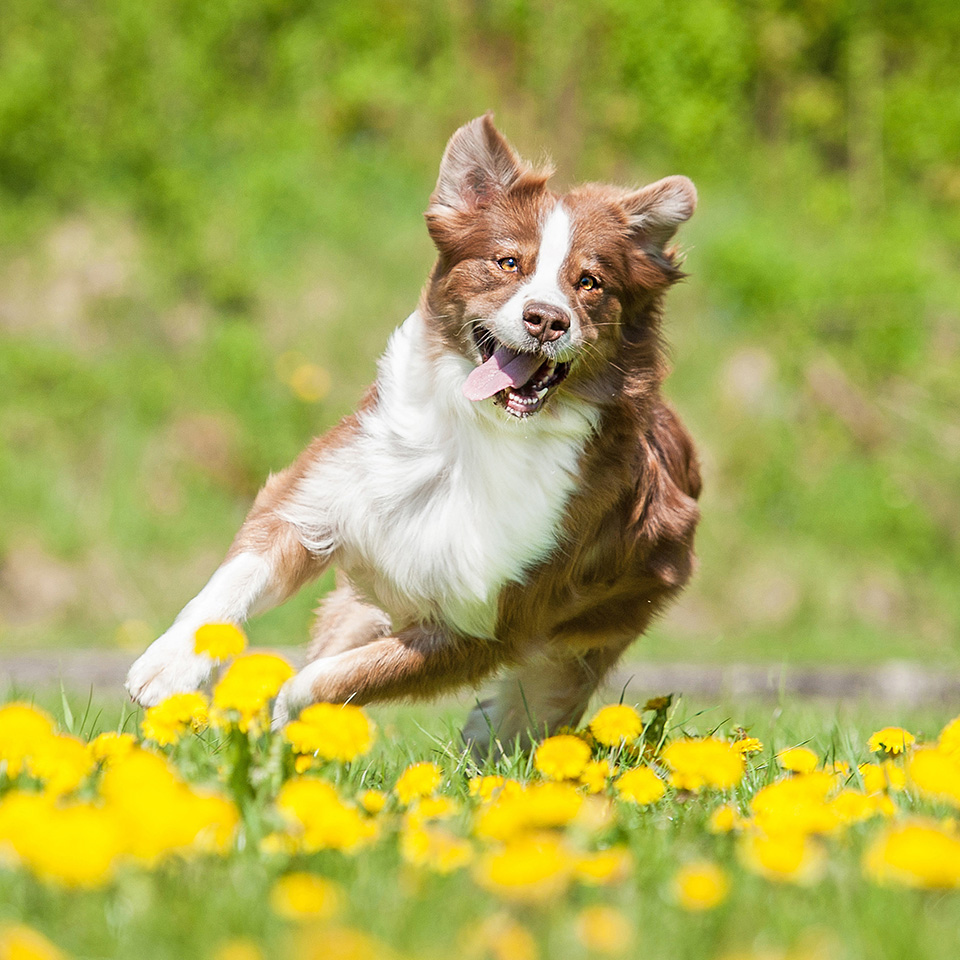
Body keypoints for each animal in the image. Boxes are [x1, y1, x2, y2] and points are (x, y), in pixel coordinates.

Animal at [125, 114, 696, 752]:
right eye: (508, 263)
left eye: (590, 282)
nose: (547, 319)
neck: (476, 435)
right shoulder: (318, 499)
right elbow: (232, 586)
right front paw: (167, 668)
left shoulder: (487, 623)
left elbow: (328, 679)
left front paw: (295, 722)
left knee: (531, 714)